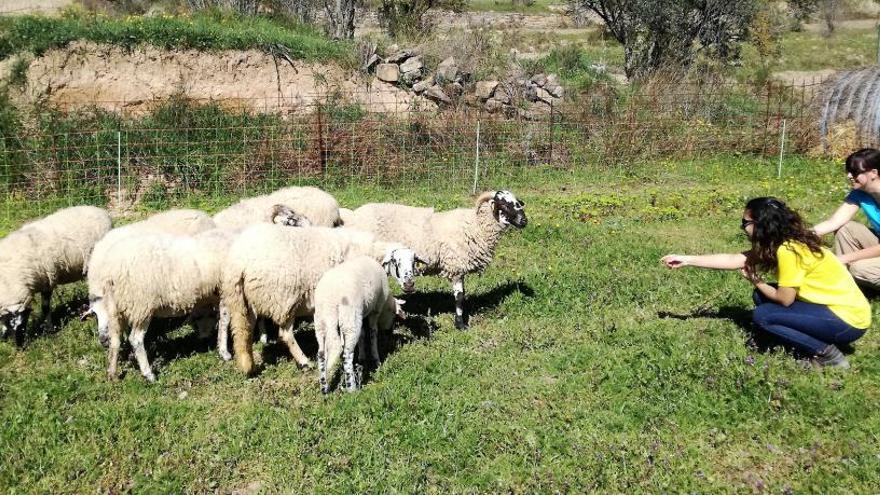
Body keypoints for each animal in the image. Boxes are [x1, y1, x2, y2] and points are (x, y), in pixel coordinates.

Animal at [0, 206, 113, 344]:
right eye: (9, 324)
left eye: (22, 324)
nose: (19, 346)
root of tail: (102, 211)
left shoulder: (47, 281)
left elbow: (45, 308)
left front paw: (49, 329)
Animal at [88, 230, 237, 384]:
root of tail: (111, 270)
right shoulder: (226, 291)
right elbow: (224, 321)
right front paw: (225, 352)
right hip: (141, 304)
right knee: (135, 339)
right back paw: (148, 374)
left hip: (115, 308)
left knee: (115, 339)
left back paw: (112, 373)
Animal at [222, 226, 418, 376]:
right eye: (396, 262)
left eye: (414, 261)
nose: (409, 284)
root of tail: (237, 261)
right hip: (284, 298)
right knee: (285, 334)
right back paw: (304, 362)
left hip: (244, 301)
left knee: (243, 332)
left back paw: (248, 364)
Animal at [312, 258, 406, 394]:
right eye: (394, 314)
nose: (389, 330)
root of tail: (330, 299)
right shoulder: (374, 311)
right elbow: (372, 334)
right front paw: (376, 360)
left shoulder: (362, 314)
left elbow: (362, 335)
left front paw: (362, 357)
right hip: (349, 317)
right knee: (346, 354)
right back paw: (352, 387)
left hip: (321, 321)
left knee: (321, 354)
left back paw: (324, 388)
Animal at [340, 190, 524, 330]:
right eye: (504, 204)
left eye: (517, 203)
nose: (524, 221)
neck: (474, 226)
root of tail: (351, 217)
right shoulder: (455, 266)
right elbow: (459, 297)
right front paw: (460, 325)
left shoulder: (458, 267)